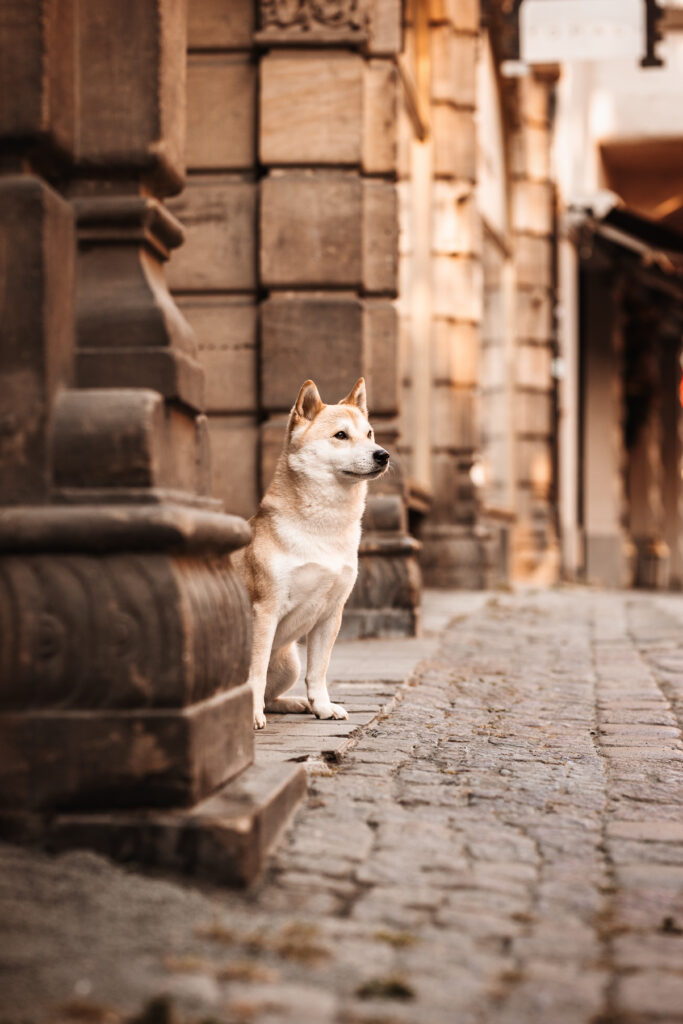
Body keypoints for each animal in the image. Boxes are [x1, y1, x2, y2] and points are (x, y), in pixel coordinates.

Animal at [232, 378, 387, 729]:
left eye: (370, 433)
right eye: (341, 435)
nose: (383, 455)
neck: (324, 528)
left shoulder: (331, 612)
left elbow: (319, 671)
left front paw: (323, 707)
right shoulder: (265, 610)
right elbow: (256, 674)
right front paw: (251, 717)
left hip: (290, 662)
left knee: (273, 697)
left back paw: (297, 703)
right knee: (260, 688)